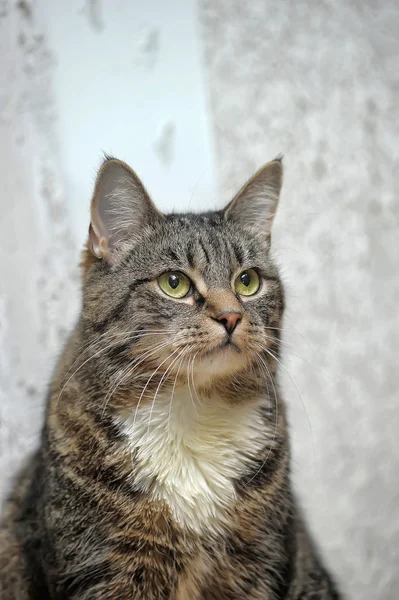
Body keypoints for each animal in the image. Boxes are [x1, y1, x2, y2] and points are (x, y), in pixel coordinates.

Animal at [1, 157, 342, 596]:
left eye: (247, 280)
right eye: (174, 283)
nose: (231, 316)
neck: (191, 409)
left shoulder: (258, 562)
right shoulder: (101, 565)